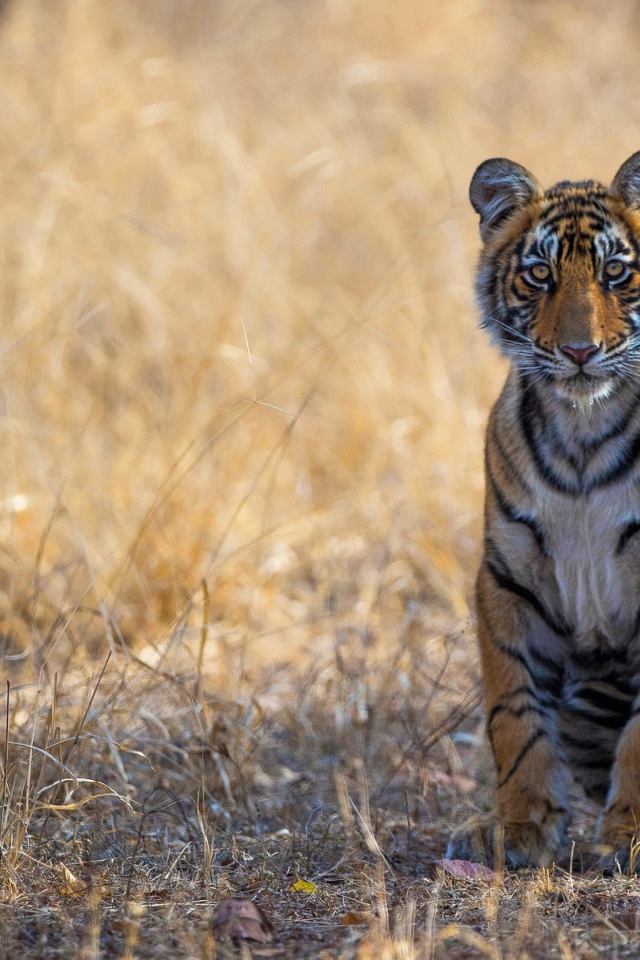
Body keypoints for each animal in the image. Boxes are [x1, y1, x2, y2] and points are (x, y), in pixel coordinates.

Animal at [455, 152, 640, 872]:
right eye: (540, 274)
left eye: (617, 272)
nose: (579, 352)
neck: (583, 430)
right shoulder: (507, 578)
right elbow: (513, 709)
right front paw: (521, 825)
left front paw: (628, 834)